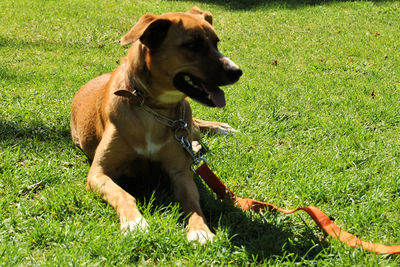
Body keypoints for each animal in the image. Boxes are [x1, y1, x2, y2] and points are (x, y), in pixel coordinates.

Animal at [70, 6, 242, 245]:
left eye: (216, 43)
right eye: (193, 45)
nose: (237, 71)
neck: (154, 108)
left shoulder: (180, 172)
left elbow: (193, 202)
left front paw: (201, 230)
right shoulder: (98, 173)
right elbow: (123, 194)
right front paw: (134, 222)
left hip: (187, 117)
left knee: (195, 127)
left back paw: (218, 129)